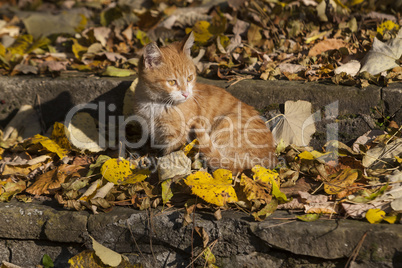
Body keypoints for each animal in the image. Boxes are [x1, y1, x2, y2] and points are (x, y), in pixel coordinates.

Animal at [133, 32, 278, 173]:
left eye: (189, 78)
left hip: (225, 124)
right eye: (172, 82)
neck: (156, 105)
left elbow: (169, 157)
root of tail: (266, 161)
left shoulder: (176, 139)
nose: (186, 94)